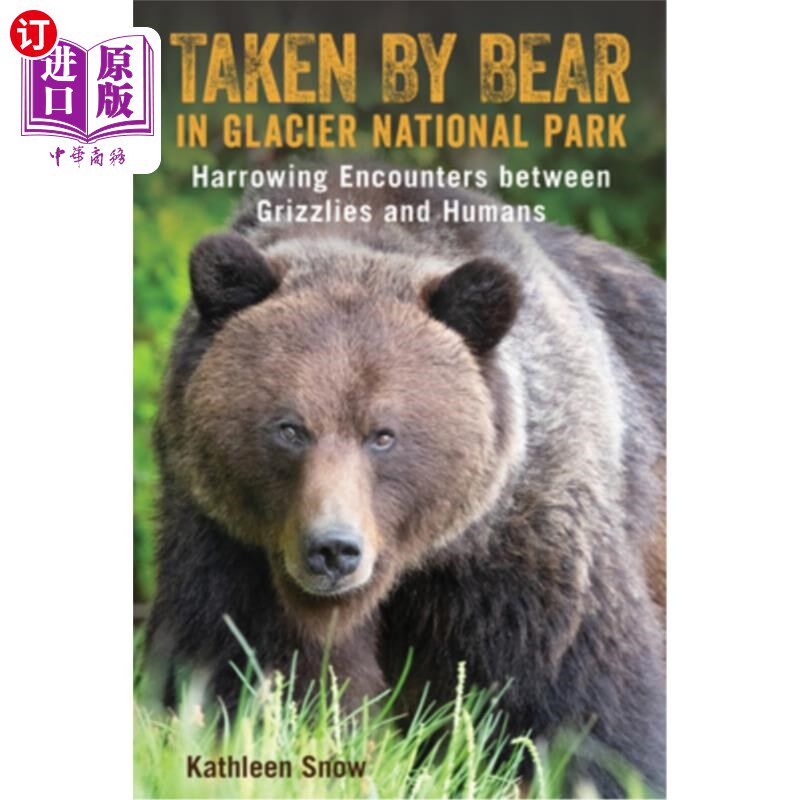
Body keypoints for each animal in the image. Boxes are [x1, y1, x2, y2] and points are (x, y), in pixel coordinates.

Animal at [144, 168, 666, 797]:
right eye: (289, 428)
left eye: (383, 434)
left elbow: (577, 697)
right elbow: (234, 668)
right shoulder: (228, 540)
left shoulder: (525, 534)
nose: (333, 549)